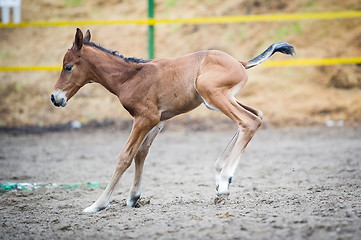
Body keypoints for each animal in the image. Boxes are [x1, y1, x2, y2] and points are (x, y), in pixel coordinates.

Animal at [50, 28, 292, 212]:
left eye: (68, 67)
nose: (55, 97)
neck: (131, 77)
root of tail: (239, 62)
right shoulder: (158, 120)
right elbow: (141, 153)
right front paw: (133, 197)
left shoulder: (145, 118)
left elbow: (125, 157)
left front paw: (98, 204)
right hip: (217, 99)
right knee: (256, 115)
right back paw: (219, 174)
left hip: (212, 94)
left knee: (248, 121)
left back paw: (224, 182)